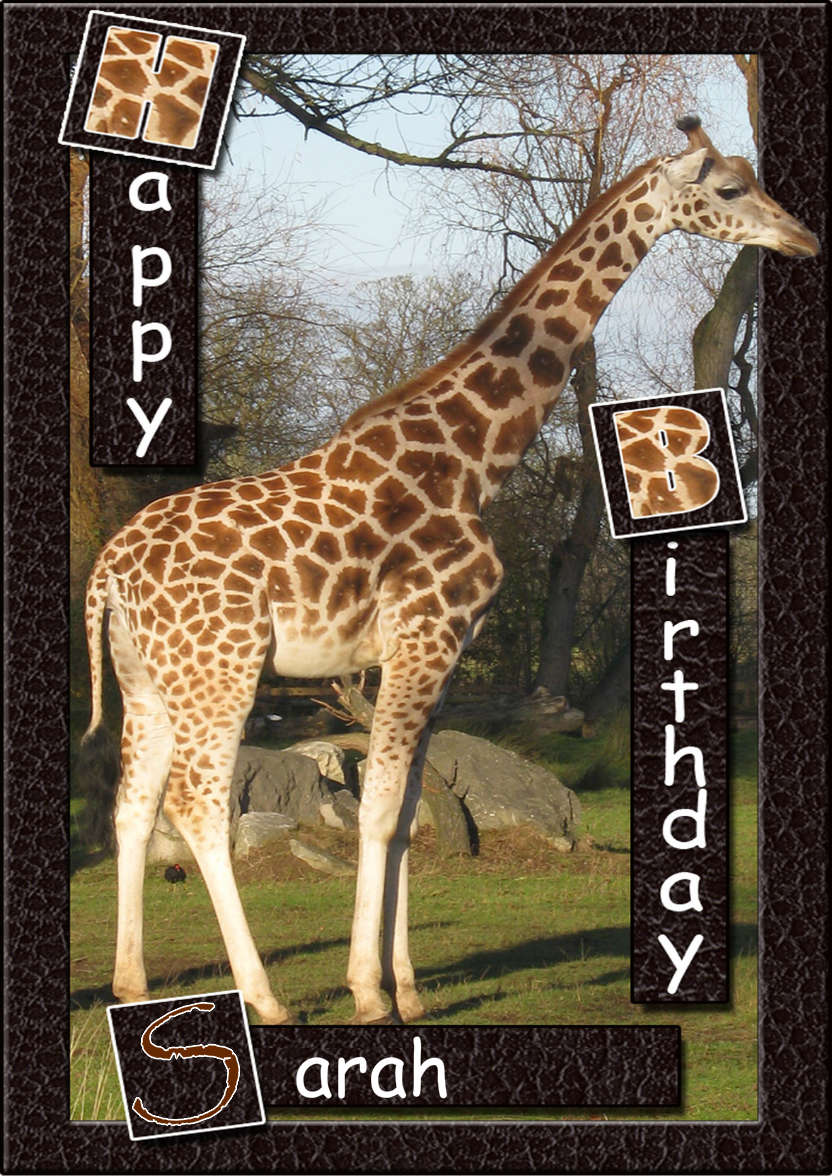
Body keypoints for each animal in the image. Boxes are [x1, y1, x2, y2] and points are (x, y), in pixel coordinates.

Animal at [81, 117, 818, 1025]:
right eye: (728, 188)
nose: (803, 238)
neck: (473, 460)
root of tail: (108, 570)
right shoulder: (423, 637)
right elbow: (375, 813)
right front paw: (368, 993)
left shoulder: (443, 651)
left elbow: (404, 818)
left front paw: (409, 991)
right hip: (220, 669)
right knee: (199, 805)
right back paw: (266, 1000)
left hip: (148, 676)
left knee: (132, 804)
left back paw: (132, 985)